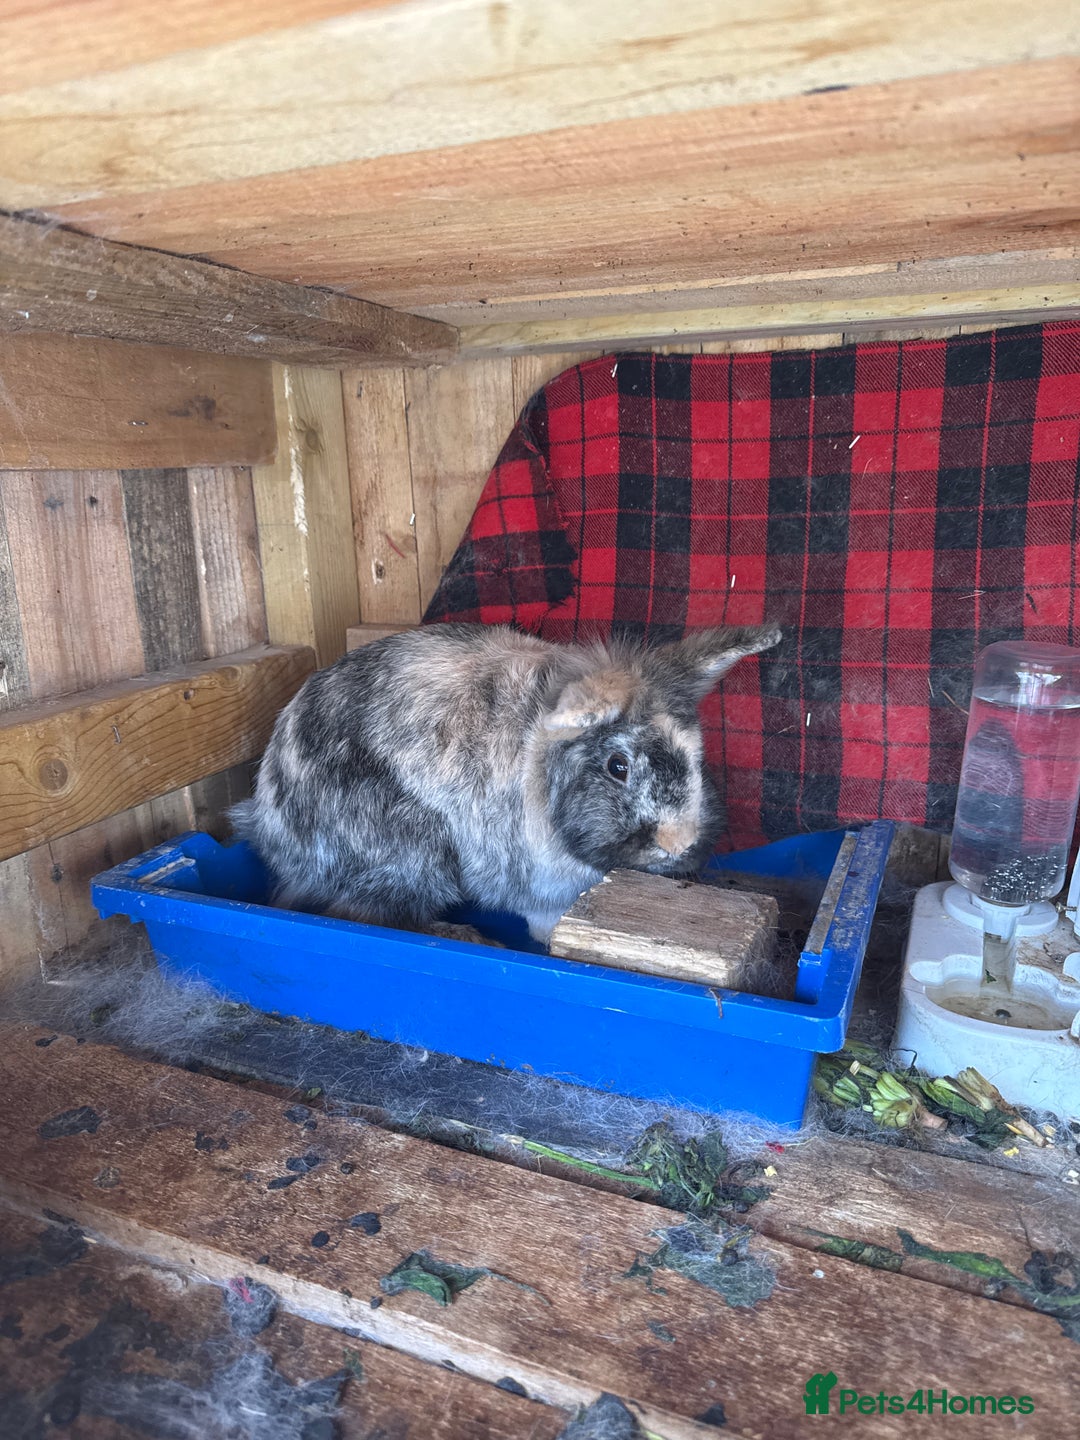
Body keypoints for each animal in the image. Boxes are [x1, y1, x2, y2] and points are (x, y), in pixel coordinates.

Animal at [231, 622, 781, 945]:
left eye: (696, 753)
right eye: (617, 766)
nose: (678, 843)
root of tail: (269, 823)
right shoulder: (535, 887)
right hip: (410, 858)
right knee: (368, 914)